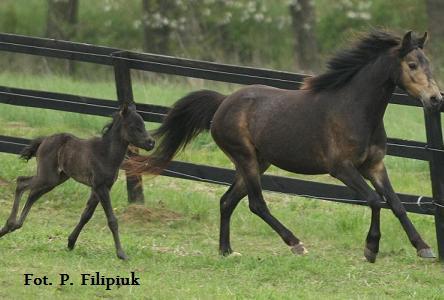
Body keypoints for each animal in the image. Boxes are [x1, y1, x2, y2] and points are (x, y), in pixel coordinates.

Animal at [127, 29, 440, 262]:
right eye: (412, 65)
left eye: (429, 63)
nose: (436, 99)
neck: (354, 110)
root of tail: (223, 103)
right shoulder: (342, 169)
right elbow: (375, 201)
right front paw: (371, 249)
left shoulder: (374, 166)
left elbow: (397, 204)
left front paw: (423, 248)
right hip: (246, 159)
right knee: (256, 204)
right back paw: (296, 244)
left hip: (257, 162)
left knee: (227, 201)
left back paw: (226, 251)